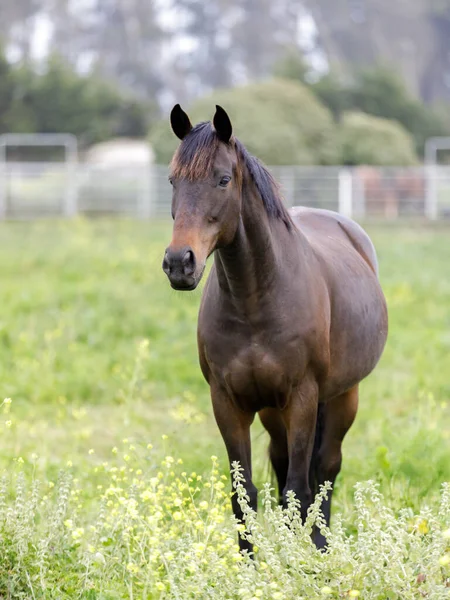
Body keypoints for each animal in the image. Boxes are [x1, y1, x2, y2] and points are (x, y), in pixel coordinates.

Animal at [162, 104, 386, 552]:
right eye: (173, 180)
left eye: (223, 179)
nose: (179, 263)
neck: (255, 300)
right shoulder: (228, 402)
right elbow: (245, 494)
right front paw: (252, 563)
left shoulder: (302, 398)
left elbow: (299, 490)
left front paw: (302, 559)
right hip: (271, 410)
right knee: (286, 467)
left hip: (343, 396)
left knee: (326, 470)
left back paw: (320, 545)